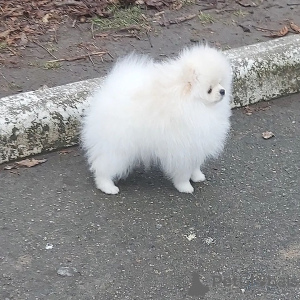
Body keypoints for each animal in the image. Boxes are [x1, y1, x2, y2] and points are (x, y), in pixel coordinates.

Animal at [80, 44, 232, 195]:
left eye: (220, 82)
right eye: (209, 89)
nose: (222, 91)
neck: (195, 104)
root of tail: (107, 94)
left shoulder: (197, 145)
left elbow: (195, 165)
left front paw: (197, 176)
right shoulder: (182, 149)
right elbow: (183, 172)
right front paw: (185, 187)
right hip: (117, 147)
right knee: (103, 167)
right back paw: (107, 187)